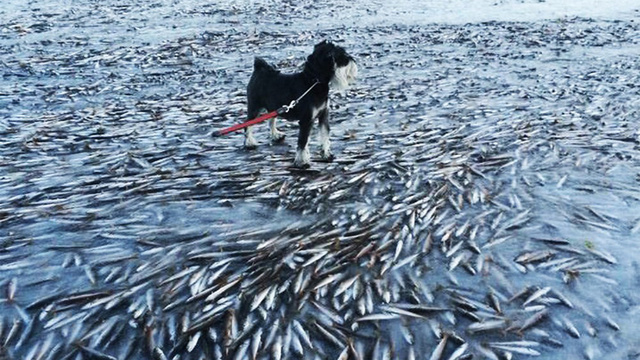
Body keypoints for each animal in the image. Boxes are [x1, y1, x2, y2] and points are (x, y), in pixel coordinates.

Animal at [245, 41, 358, 169]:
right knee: (247, 124)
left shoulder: (323, 115)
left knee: (271, 120)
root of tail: (259, 69)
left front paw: (326, 154)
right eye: (340, 56)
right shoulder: (306, 120)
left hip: (274, 107)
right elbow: (303, 142)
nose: (352, 61)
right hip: (254, 107)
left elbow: (324, 135)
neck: (313, 82)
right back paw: (249, 143)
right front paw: (302, 161)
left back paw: (276, 135)